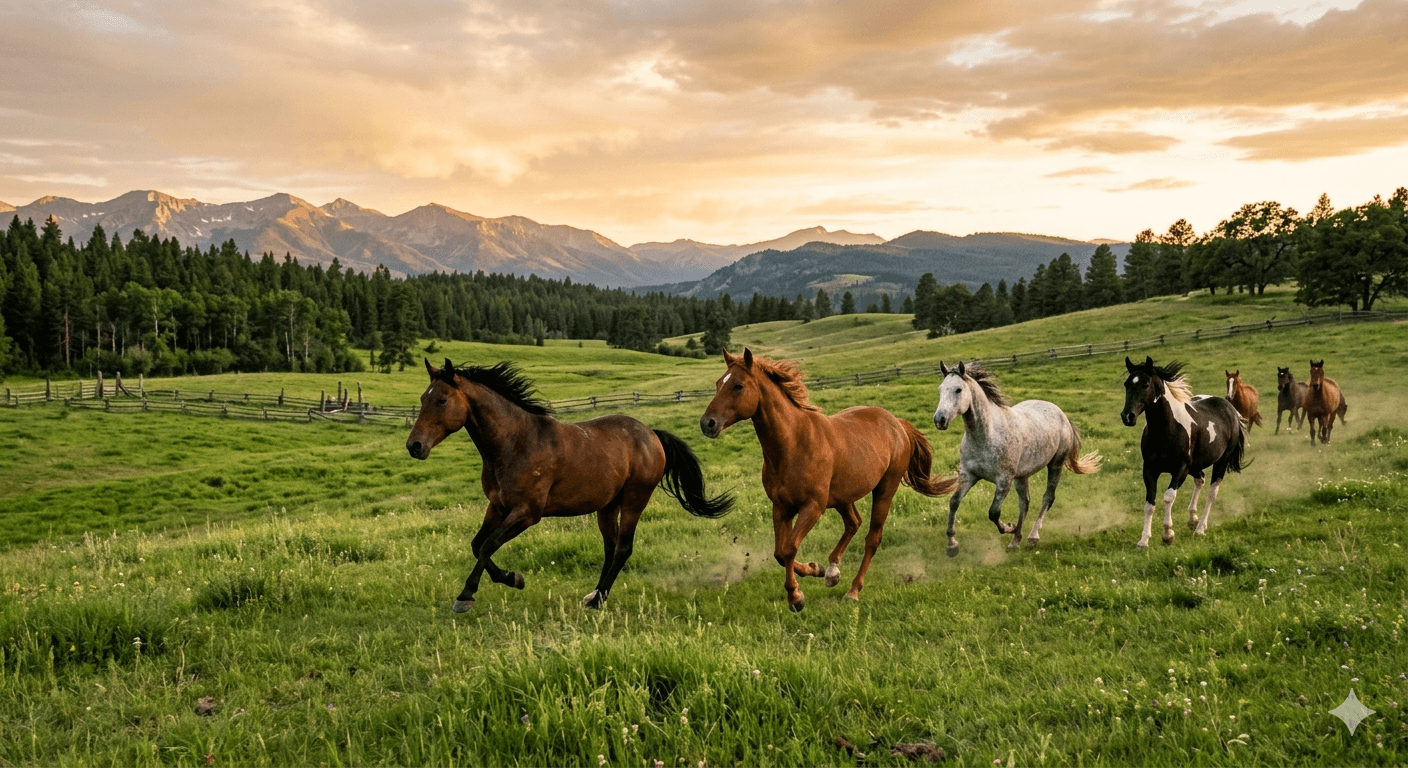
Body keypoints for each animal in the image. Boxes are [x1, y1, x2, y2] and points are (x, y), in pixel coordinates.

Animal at [406, 358, 733, 612]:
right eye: (422, 399)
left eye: (441, 400)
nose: (414, 446)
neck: (515, 443)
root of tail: (651, 435)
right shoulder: (497, 506)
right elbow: (478, 545)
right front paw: (508, 580)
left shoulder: (527, 513)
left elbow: (488, 545)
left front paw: (471, 594)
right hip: (607, 507)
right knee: (610, 548)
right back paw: (594, 595)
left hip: (634, 501)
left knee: (623, 548)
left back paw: (599, 600)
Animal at [698, 348, 955, 611]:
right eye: (718, 384)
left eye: (738, 386)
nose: (707, 423)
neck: (793, 445)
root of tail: (897, 424)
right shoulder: (781, 507)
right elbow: (780, 553)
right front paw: (816, 570)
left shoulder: (813, 506)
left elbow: (789, 548)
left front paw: (796, 597)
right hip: (842, 496)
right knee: (853, 522)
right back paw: (832, 572)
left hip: (885, 489)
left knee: (872, 538)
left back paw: (853, 591)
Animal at [932, 361, 1101, 552]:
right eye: (940, 389)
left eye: (958, 390)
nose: (939, 420)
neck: (986, 435)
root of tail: (1060, 413)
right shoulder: (969, 475)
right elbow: (954, 502)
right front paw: (952, 544)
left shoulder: (1004, 480)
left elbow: (993, 512)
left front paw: (1009, 527)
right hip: (1022, 476)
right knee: (1024, 502)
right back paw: (1015, 541)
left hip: (1055, 465)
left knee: (1047, 498)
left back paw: (1032, 536)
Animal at [1120, 357, 1247, 548]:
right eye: (1127, 384)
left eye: (1145, 384)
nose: (1127, 416)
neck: (1165, 430)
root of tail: (1230, 408)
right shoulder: (1149, 469)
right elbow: (1149, 504)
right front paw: (1143, 541)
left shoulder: (1180, 469)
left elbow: (1168, 497)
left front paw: (1167, 534)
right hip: (1195, 465)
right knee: (1200, 479)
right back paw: (1192, 519)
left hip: (1220, 462)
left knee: (1212, 492)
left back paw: (1200, 528)